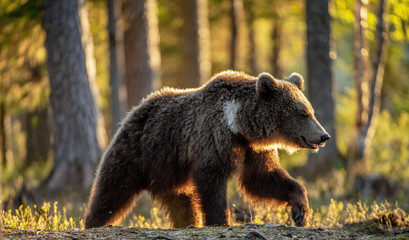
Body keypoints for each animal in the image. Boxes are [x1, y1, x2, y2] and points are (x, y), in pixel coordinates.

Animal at [83, 71, 328, 229]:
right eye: (303, 113)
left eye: (311, 110)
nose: (324, 136)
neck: (237, 124)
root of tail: (135, 109)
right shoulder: (213, 138)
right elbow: (211, 180)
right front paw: (220, 220)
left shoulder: (253, 148)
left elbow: (262, 178)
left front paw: (300, 211)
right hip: (138, 152)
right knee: (112, 190)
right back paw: (93, 222)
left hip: (169, 171)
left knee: (181, 202)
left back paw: (187, 223)